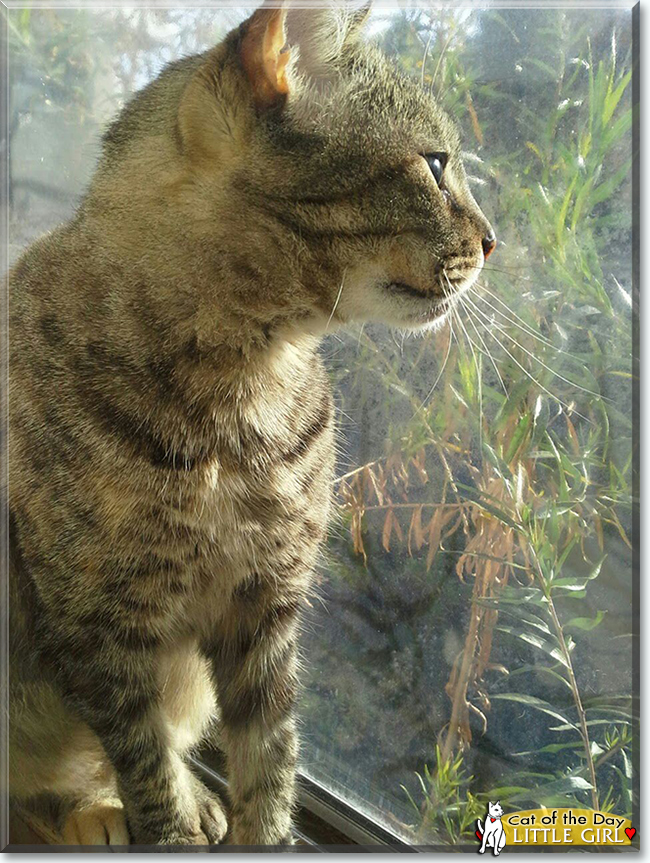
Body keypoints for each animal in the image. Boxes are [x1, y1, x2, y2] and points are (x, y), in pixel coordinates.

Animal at [7, 0, 494, 848]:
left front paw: (252, 822)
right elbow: (144, 766)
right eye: (436, 166)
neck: (243, 393)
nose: (495, 241)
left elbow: (270, 757)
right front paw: (165, 818)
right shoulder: (100, 627)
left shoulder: (265, 608)